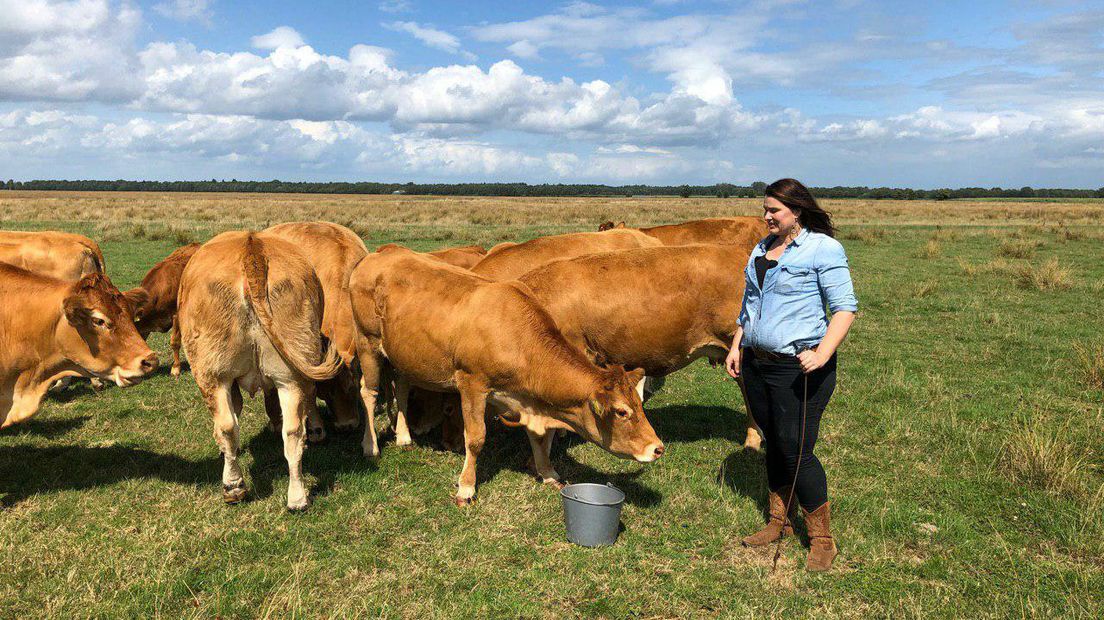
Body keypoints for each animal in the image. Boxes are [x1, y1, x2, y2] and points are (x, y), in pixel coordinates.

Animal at [177, 229, 340, 509]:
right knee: (292, 431)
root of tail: (252, 248)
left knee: (227, 426)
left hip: (212, 374)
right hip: (290, 373)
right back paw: (297, 497)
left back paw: (233, 486)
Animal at [346, 243, 662, 505]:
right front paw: (466, 488)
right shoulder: (472, 383)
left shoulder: (526, 400)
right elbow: (475, 438)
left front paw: (548, 472)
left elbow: (538, 437)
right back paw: (370, 445)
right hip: (367, 341)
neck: (517, 336)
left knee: (400, 387)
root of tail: (381, 253)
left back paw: (403, 436)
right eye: (621, 412)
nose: (657, 448)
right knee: (368, 391)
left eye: (638, 403)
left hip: (402, 354)